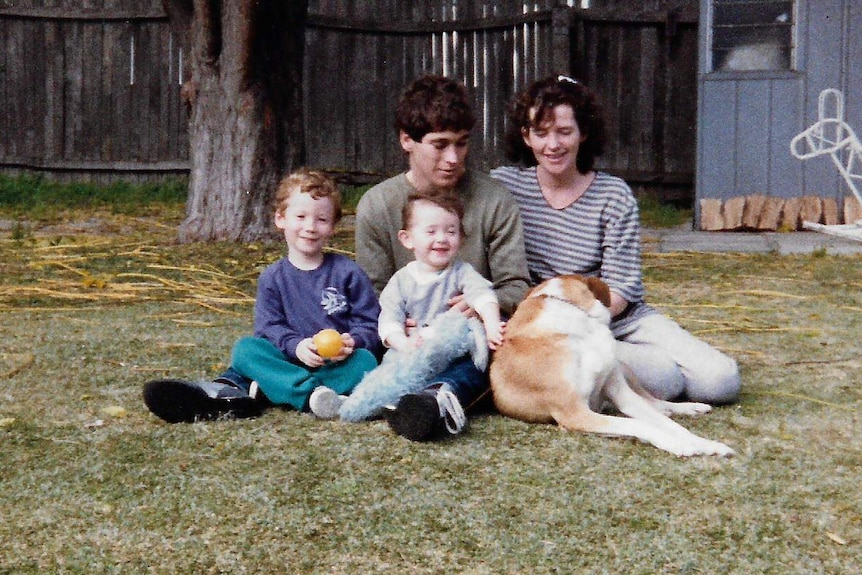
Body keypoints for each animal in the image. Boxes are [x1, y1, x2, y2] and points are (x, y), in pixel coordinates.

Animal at [492, 276, 736, 460]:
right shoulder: (574, 413)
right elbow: (639, 425)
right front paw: (678, 445)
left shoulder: (620, 392)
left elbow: (669, 425)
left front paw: (705, 444)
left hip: (624, 368)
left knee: (655, 402)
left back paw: (689, 407)